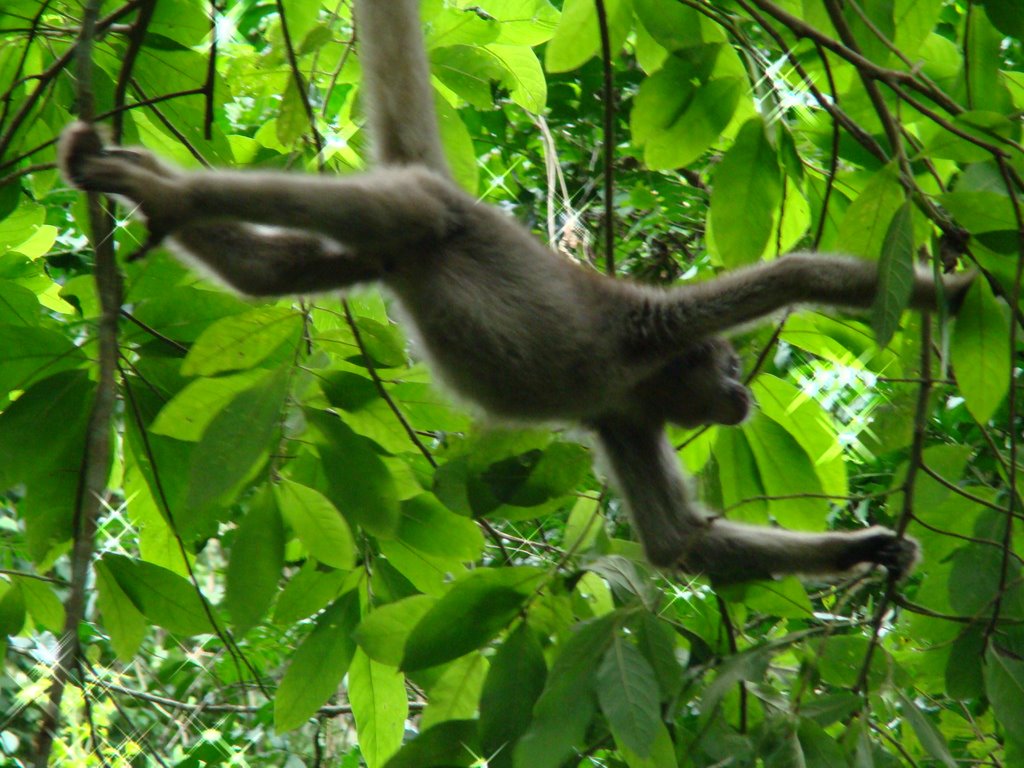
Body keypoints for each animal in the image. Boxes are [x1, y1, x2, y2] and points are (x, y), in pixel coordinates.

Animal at [59, 0, 970, 581]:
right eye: (729, 369)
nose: (742, 395)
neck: (644, 377)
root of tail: (445, 190)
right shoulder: (654, 326)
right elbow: (803, 275)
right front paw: (962, 292)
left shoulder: (624, 419)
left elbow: (681, 546)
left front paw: (870, 550)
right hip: (431, 214)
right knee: (396, 210)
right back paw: (173, 195)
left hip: (384, 262)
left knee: (277, 273)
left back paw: (159, 201)